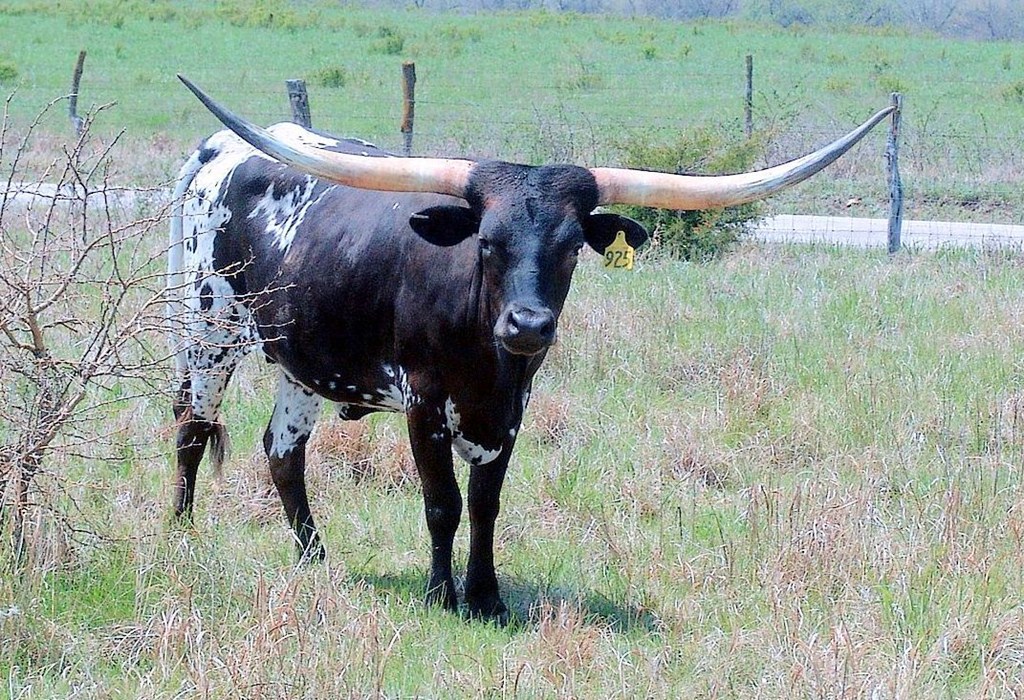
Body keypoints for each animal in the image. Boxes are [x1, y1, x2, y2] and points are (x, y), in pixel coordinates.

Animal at [169, 75, 891, 622]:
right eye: (487, 241)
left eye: (572, 248)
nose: (528, 326)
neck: (485, 354)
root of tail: (219, 149)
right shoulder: (424, 403)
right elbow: (443, 502)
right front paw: (441, 596)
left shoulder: (512, 408)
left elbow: (486, 504)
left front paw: (487, 597)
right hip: (208, 326)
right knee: (191, 427)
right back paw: (181, 532)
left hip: (302, 359)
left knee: (282, 452)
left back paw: (315, 560)